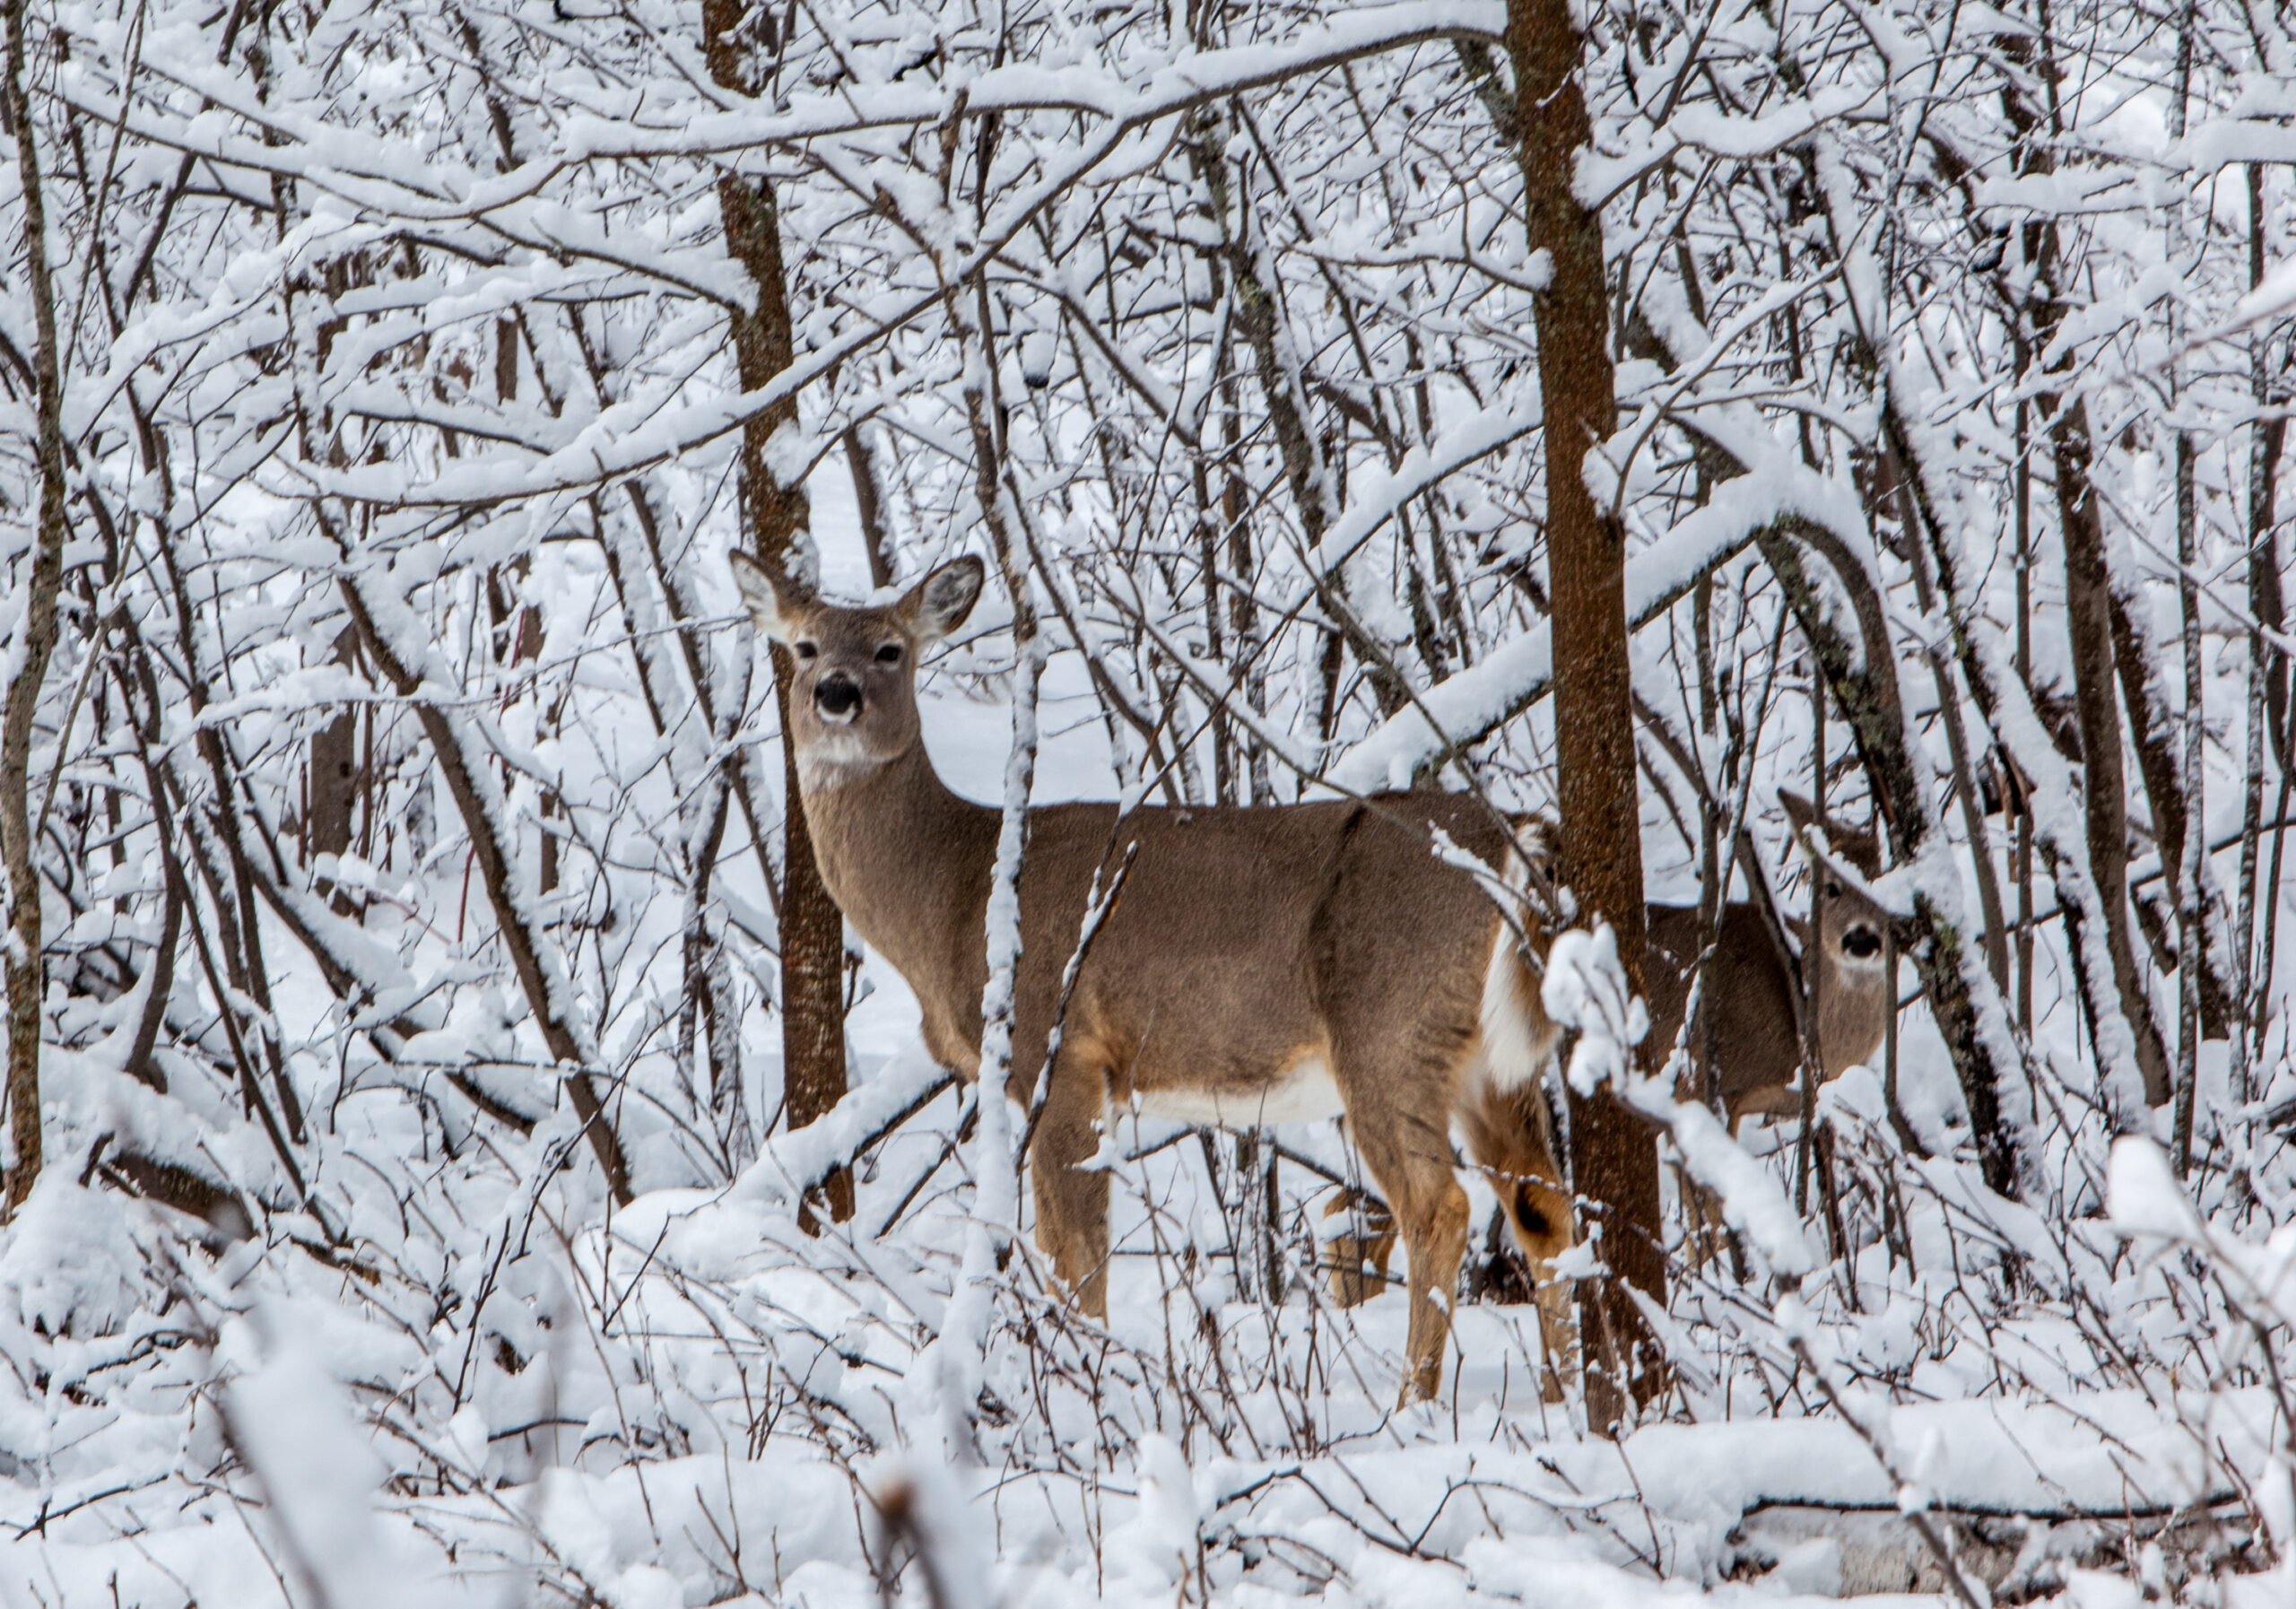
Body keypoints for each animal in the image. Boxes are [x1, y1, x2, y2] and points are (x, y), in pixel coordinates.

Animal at [728, 549, 1576, 1403]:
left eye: (890, 650)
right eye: (804, 647)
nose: (836, 693)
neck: (960, 895)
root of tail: (1517, 844)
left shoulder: (1059, 1046)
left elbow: (1077, 1253)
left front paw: (1088, 1380)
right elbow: (1057, 1242)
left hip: (1389, 1027)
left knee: (1439, 1208)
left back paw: (1414, 1406)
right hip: (1490, 1060)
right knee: (1543, 1204)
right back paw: (1569, 1396)